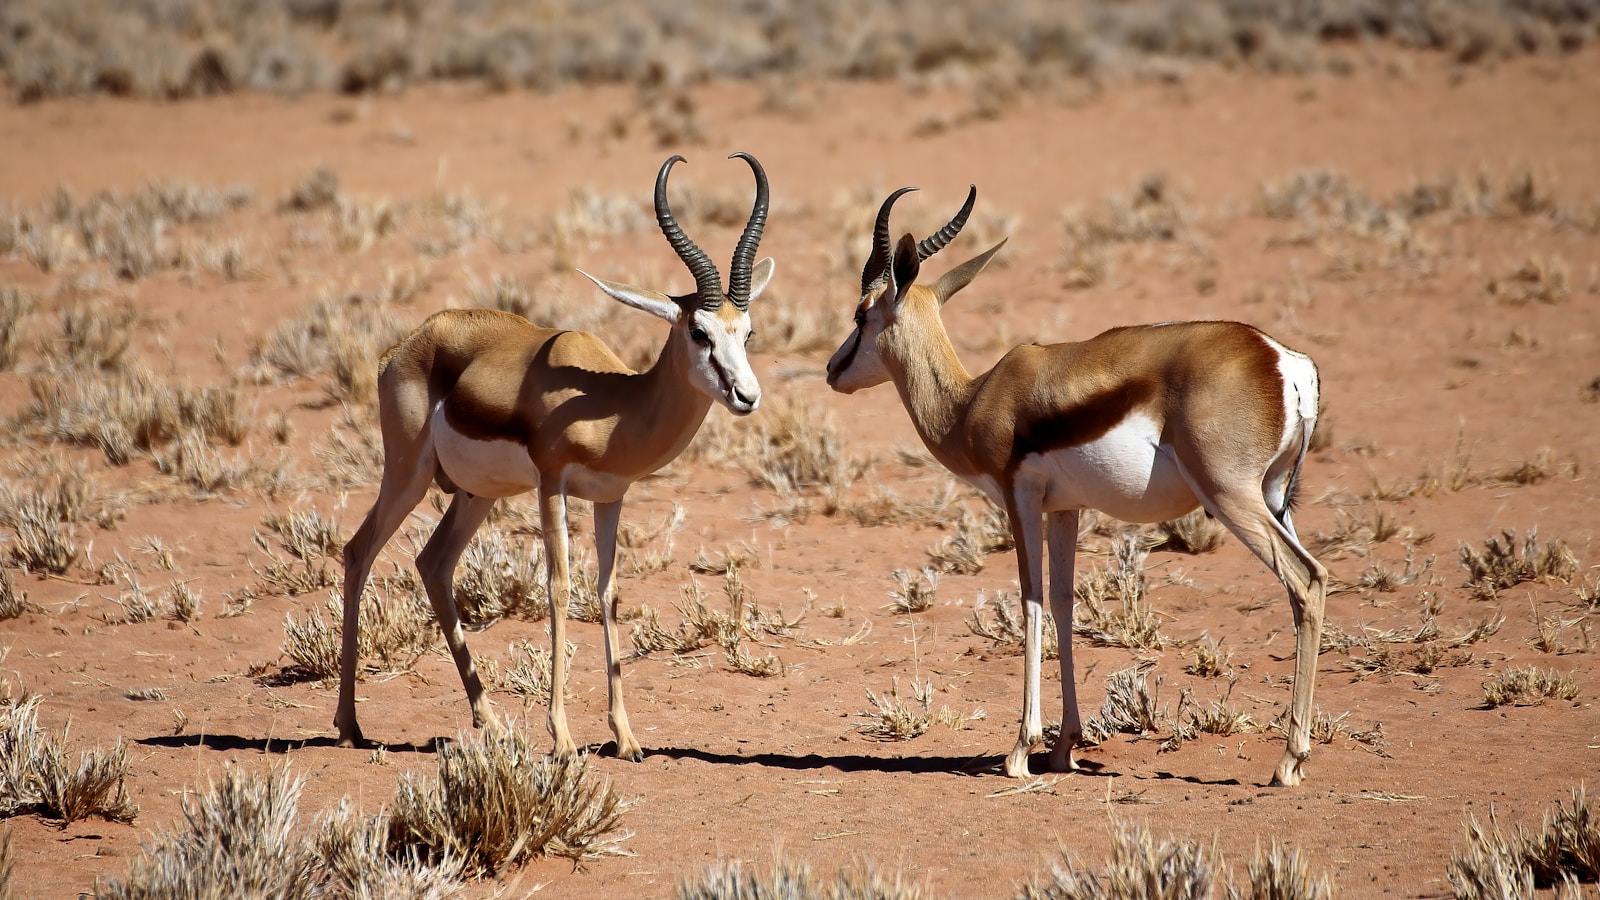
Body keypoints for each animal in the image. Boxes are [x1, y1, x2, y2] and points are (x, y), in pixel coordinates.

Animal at [335, 153, 774, 762]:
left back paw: (492, 724)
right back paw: (349, 725)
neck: (615, 405)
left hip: (475, 494)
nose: (746, 396)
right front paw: (563, 737)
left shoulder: (612, 497)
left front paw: (626, 737)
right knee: (359, 553)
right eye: (698, 332)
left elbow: (608, 593)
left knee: (433, 564)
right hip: (408, 475)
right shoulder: (551, 485)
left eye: (747, 332)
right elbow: (560, 588)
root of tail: (401, 348)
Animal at [825, 186, 1328, 786]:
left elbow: (1031, 601)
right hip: (1275, 498)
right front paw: (1064, 746)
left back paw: (1289, 760)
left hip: (1231, 496)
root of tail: (1285, 362)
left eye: (861, 314)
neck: (972, 402)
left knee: (1307, 580)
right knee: (1308, 585)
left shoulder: (1018, 500)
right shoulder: (1065, 510)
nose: (832, 369)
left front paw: (1020, 751)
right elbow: (1065, 605)